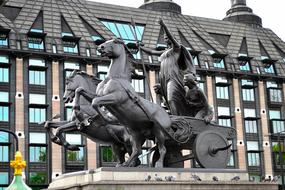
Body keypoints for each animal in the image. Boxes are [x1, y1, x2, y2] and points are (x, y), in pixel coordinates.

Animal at [91, 39, 171, 167]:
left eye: (114, 42)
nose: (100, 47)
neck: (116, 78)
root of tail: (167, 116)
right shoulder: (103, 98)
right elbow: (93, 101)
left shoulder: (116, 98)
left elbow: (95, 102)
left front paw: (107, 119)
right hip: (136, 133)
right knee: (137, 150)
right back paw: (125, 164)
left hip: (159, 131)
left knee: (162, 149)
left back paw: (158, 164)